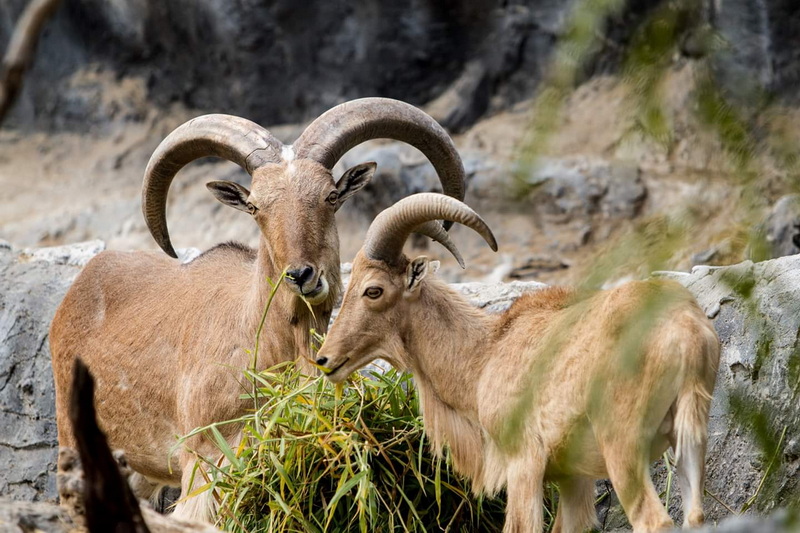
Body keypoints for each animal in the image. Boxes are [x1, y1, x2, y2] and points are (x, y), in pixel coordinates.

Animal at [49, 98, 467, 521]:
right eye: (253, 206)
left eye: (331, 196)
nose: (300, 275)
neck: (263, 342)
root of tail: (79, 288)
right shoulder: (203, 463)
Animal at [316, 193, 721, 533]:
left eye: (373, 290)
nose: (325, 359)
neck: (485, 354)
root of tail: (685, 328)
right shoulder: (573, 479)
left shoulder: (523, 464)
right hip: (688, 438)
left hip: (622, 446)